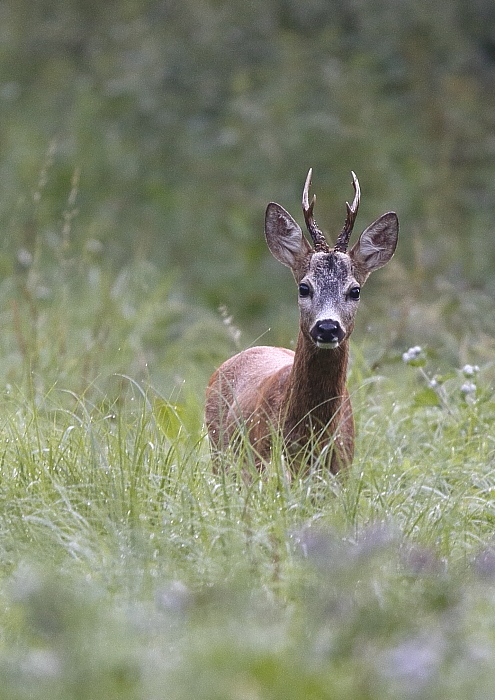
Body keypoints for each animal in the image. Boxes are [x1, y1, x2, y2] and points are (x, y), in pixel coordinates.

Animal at [205, 170, 400, 476]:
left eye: (355, 290)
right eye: (304, 288)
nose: (327, 327)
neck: (309, 440)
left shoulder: (341, 472)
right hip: (220, 455)